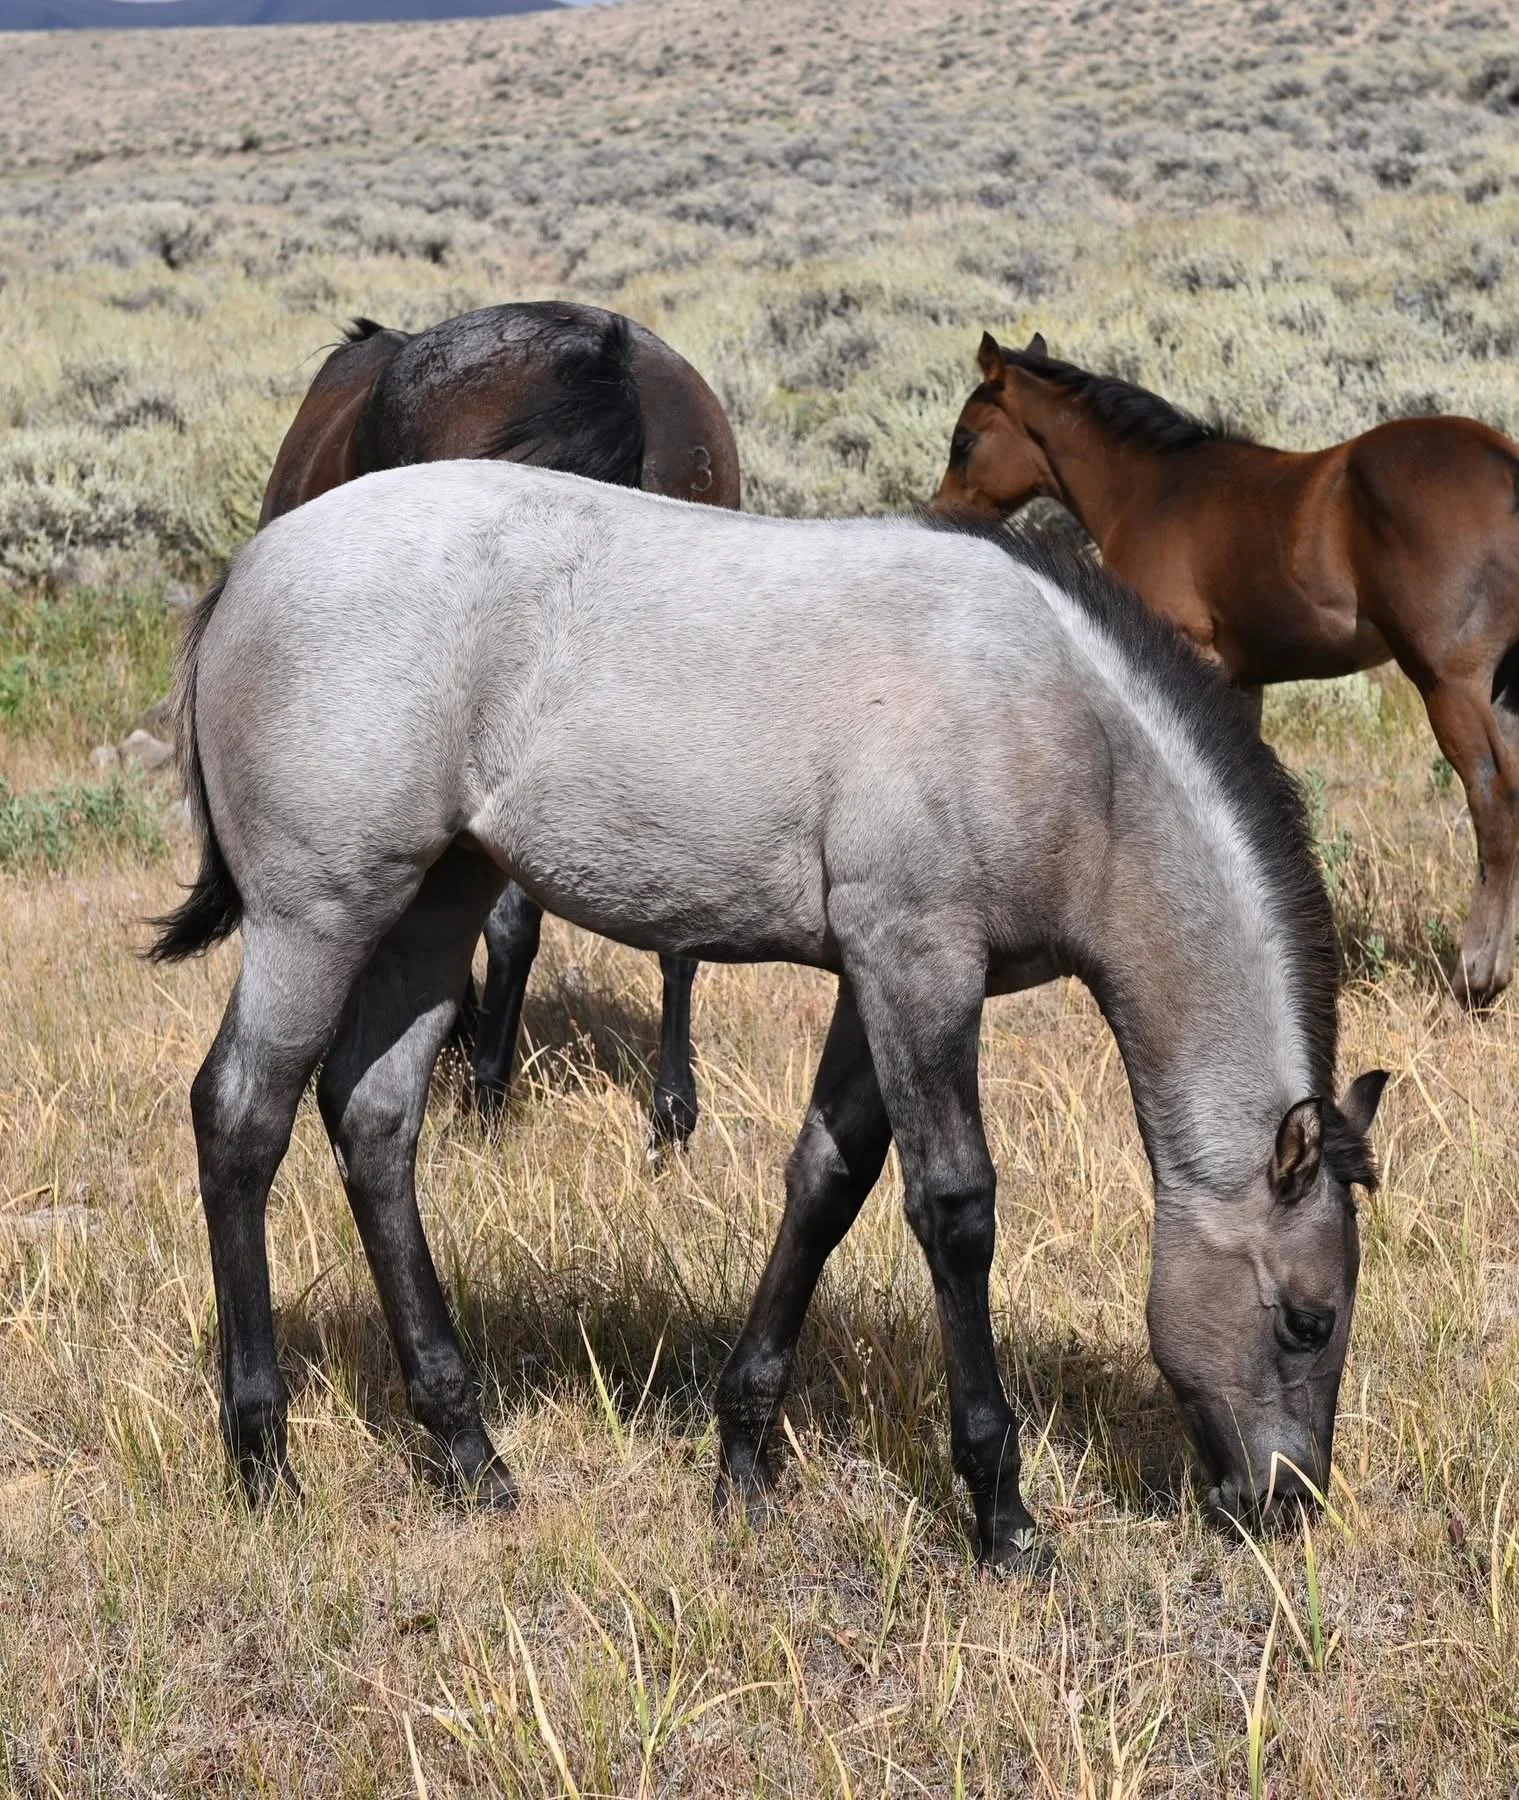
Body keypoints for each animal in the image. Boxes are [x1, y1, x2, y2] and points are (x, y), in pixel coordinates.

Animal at [150, 462, 1387, 1565]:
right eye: (1307, 1320)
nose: (1285, 1505)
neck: (1069, 740)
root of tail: (253, 566)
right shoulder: (920, 966)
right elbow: (955, 1210)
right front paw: (1002, 1513)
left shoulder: (877, 980)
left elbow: (825, 1186)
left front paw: (742, 1458)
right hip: (318, 916)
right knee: (242, 1118)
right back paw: (263, 1458)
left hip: (433, 905)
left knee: (374, 1126)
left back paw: (469, 1452)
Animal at [933, 331, 1519, 1009]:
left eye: (965, 439)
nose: (942, 516)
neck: (1148, 489)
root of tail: (1505, 464)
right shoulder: (1242, 677)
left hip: (1450, 684)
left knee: (1493, 800)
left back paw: (1475, 980)